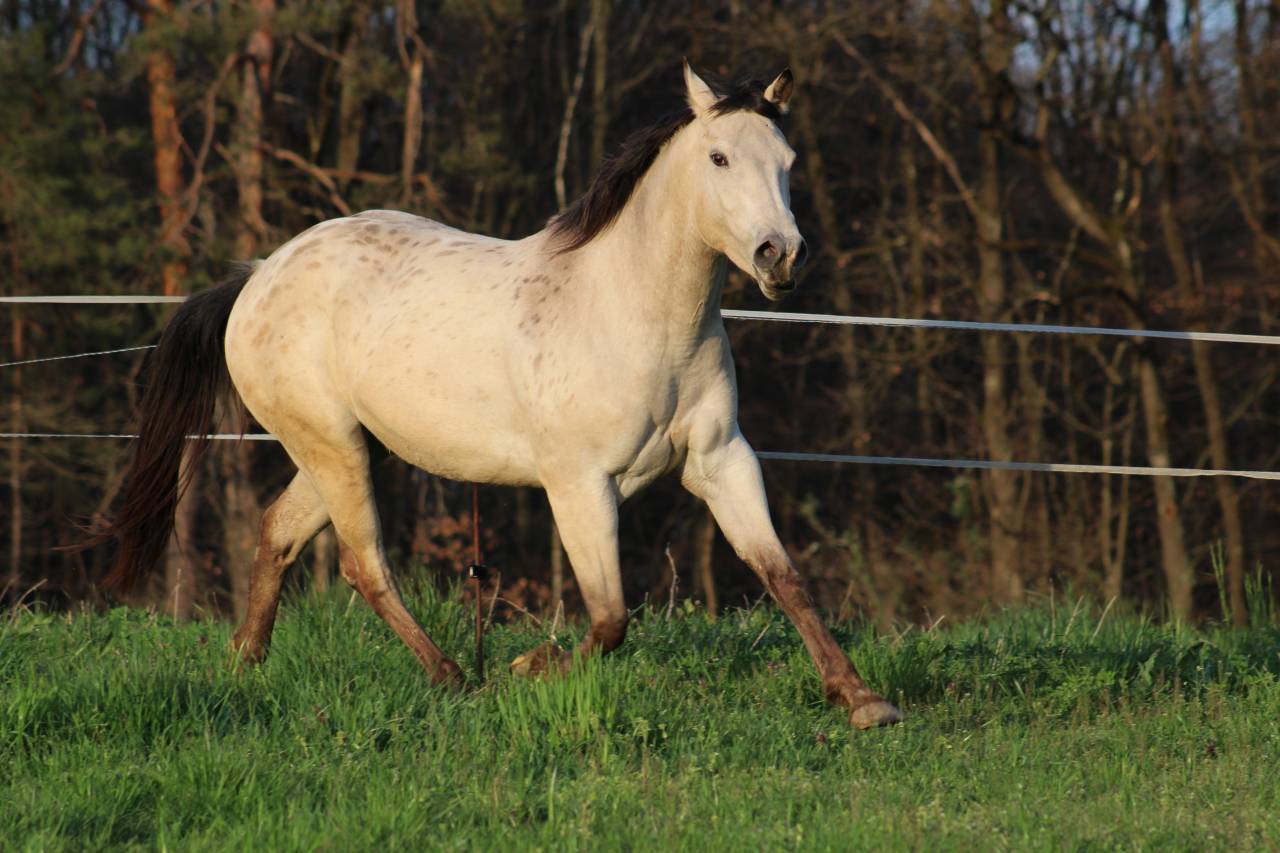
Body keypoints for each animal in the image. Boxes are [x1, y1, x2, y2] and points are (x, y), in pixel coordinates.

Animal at [96, 64, 902, 730]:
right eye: (719, 158)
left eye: (788, 163)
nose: (781, 256)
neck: (635, 315)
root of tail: (259, 275)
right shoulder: (579, 484)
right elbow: (611, 618)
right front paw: (530, 668)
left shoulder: (722, 462)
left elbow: (783, 574)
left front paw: (863, 700)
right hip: (331, 445)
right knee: (364, 562)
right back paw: (451, 675)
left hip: (350, 448)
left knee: (279, 532)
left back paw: (246, 662)